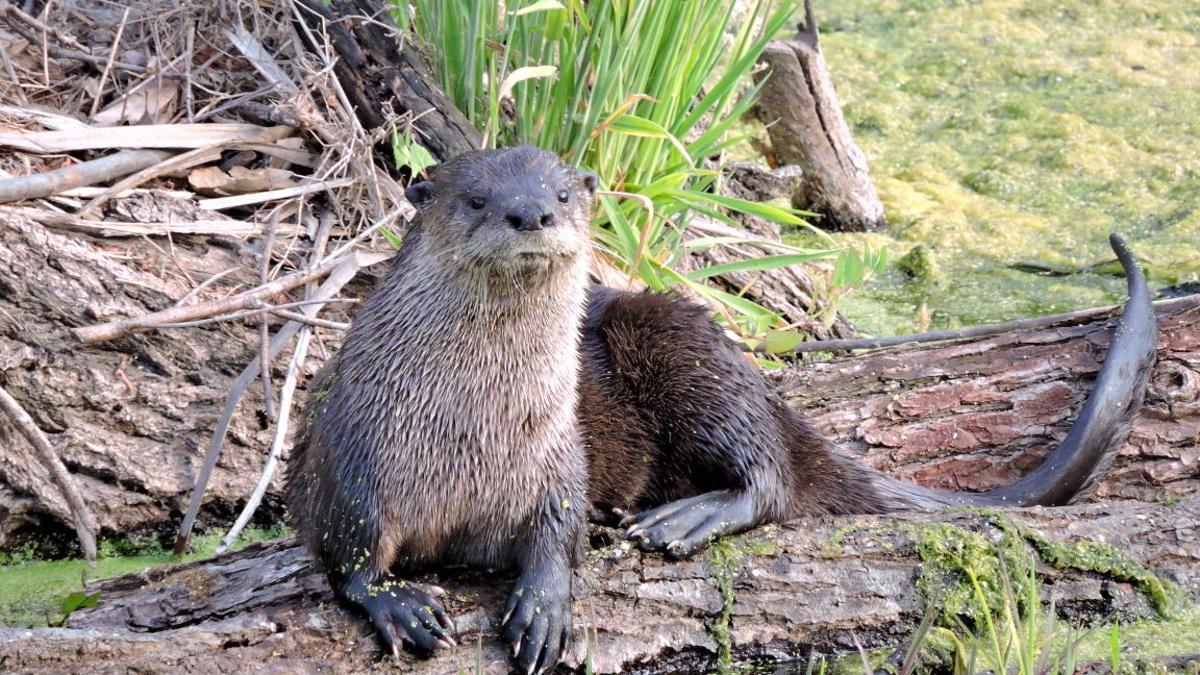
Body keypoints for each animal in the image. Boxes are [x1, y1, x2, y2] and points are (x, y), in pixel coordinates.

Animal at [286, 145, 1157, 674]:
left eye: (563, 191)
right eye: (474, 198)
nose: (533, 213)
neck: (472, 431)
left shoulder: (558, 452)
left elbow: (558, 522)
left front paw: (545, 599)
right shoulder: (349, 452)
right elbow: (343, 544)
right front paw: (393, 600)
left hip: (677, 336)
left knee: (769, 475)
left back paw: (681, 517)